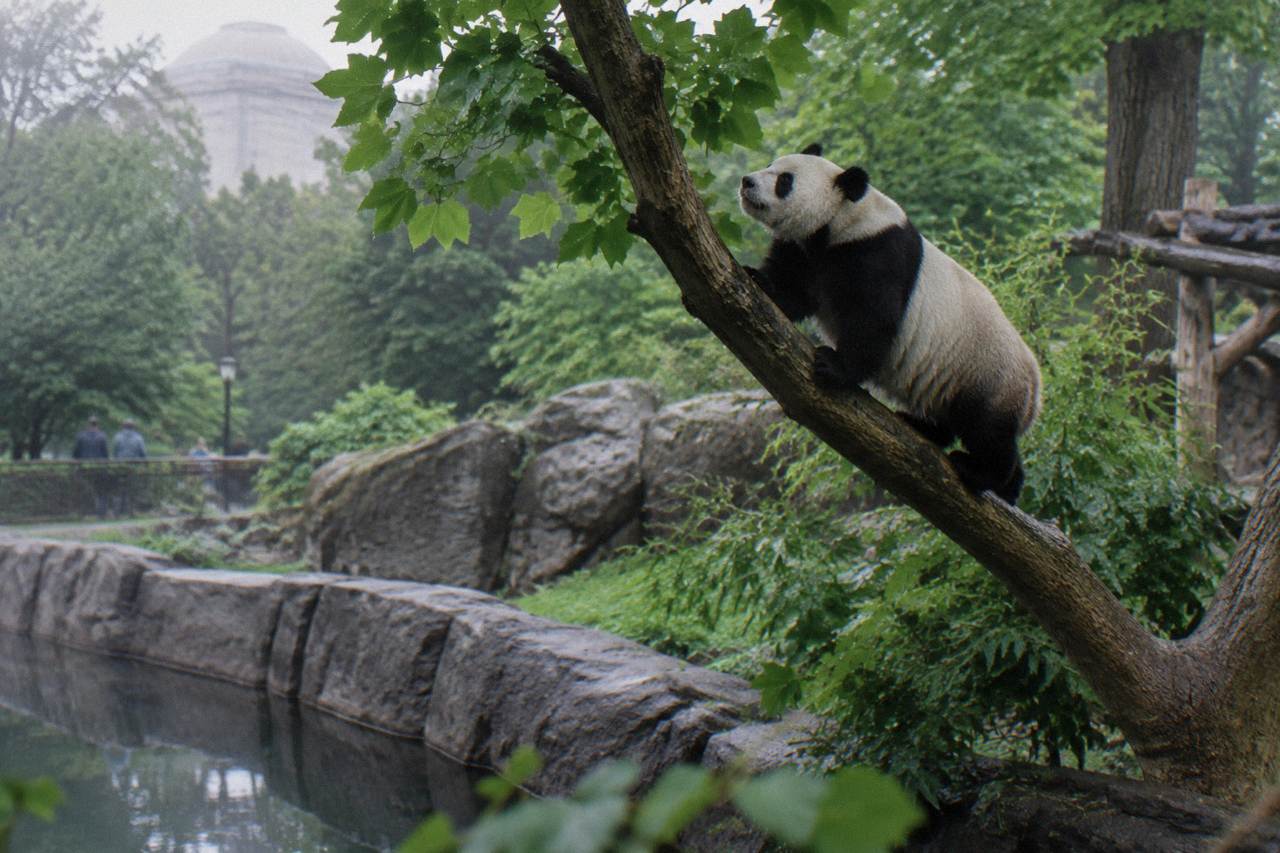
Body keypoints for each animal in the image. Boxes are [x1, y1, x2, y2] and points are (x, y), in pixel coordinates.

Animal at [739, 144, 1041, 505]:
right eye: (770, 164)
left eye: (785, 181)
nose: (747, 181)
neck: (843, 219)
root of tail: (1035, 391)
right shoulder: (806, 249)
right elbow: (792, 286)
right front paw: (759, 281)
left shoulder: (876, 253)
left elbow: (874, 319)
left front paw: (834, 365)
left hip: (988, 375)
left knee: (987, 434)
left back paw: (982, 473)